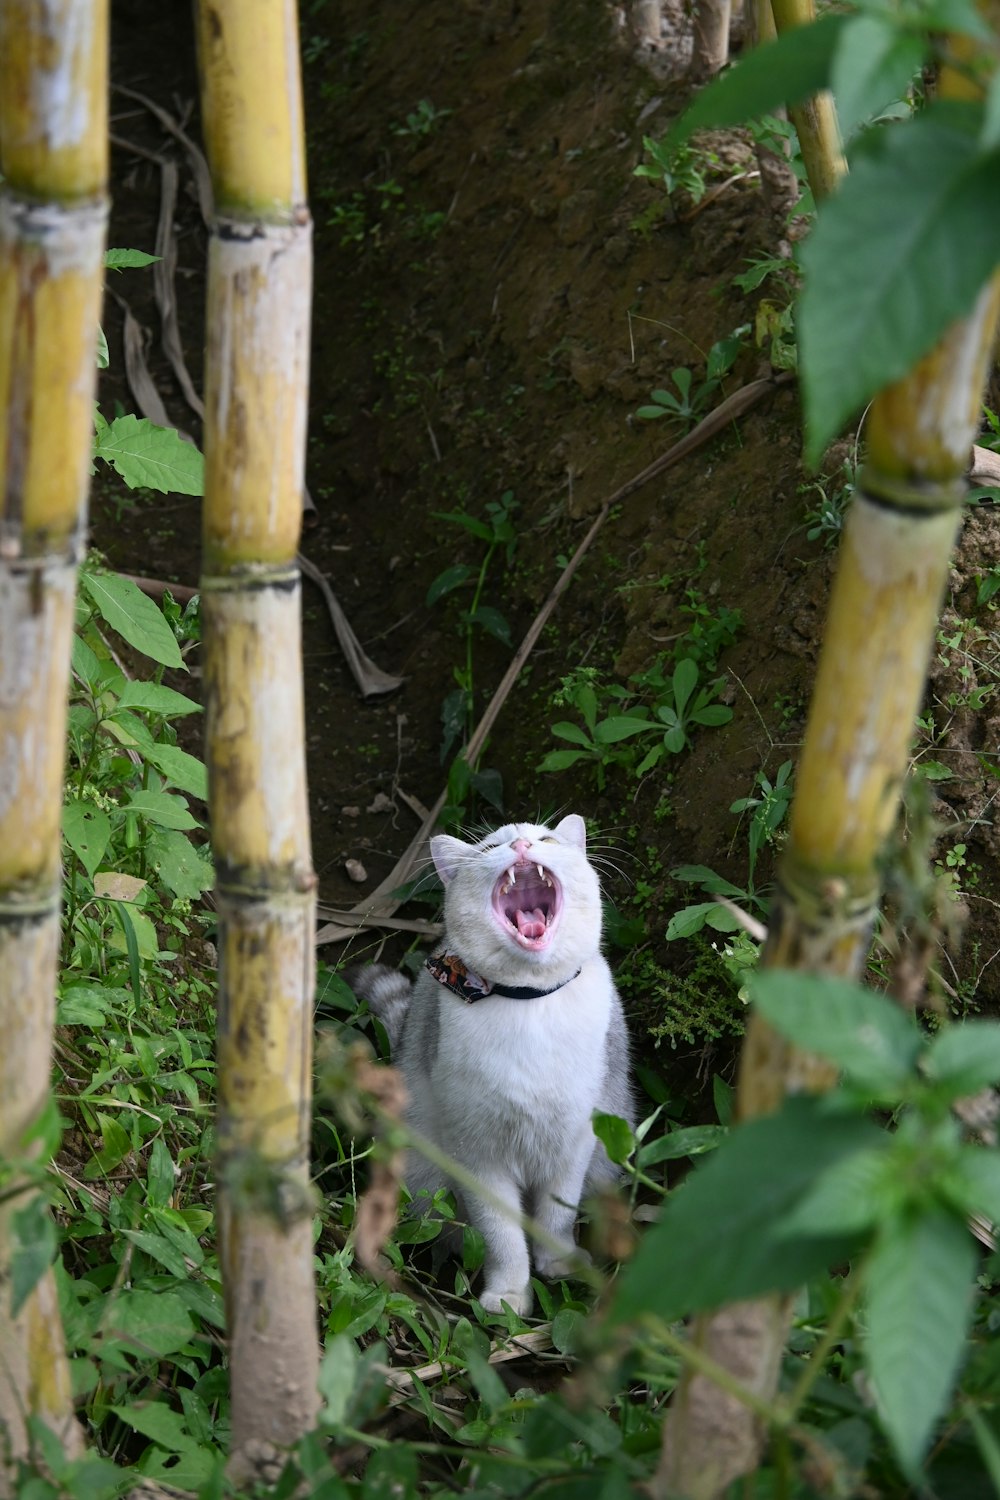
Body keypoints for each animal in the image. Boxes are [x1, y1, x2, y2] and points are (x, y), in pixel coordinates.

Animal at [352, 816, 632, 1320]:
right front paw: (508, 1295)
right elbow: (501, 1235)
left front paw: (558, 1264)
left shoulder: (574, 1142)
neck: (529, 1004)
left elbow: (557, 1214)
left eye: (546, 839)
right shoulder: (477, 1158)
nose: (520, 844)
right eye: (490, 847)